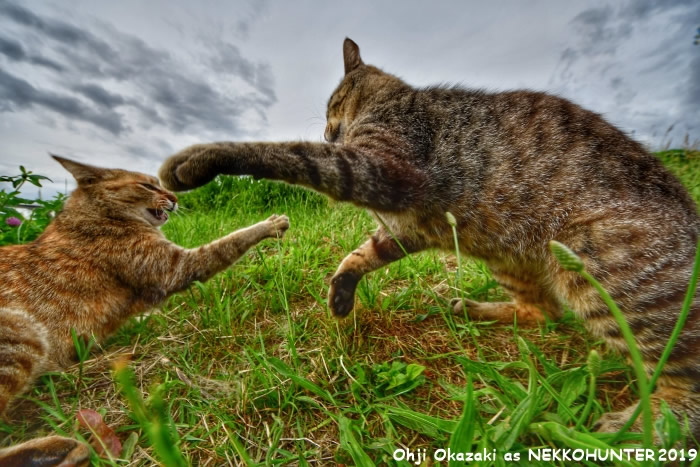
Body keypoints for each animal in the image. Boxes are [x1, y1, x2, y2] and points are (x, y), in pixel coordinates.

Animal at [0, 156, 290, 464]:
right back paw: (62, 449)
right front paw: (268, 225)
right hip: (22, 333)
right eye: (147, 185)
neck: (96, 215)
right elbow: (227, 242)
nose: (175, 198)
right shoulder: (175, 267)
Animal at [159, 39, 700, 438]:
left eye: (332, 104)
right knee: (543, 313)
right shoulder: (405, 229)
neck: (391, 104)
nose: (331, 132)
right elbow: (360, 254)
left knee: (684, 378)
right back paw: (474, 309)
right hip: (509, 258)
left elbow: (284, 152)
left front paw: (199, 159)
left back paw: (645, 424)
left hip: (601, 269)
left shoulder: (379, 170)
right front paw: (341, 292)